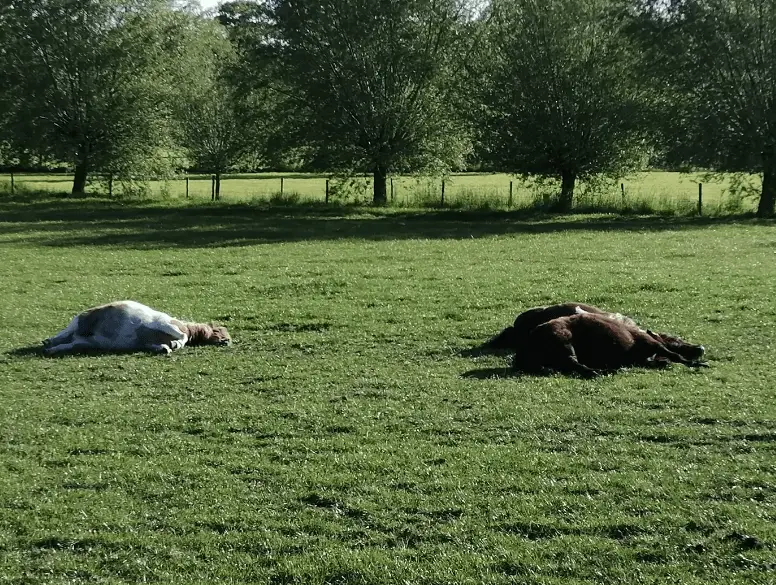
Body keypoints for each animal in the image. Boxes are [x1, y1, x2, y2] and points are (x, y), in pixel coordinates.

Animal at [42, 302, 230, 356]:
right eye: (222, 333)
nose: (228, 342)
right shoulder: (162, 323)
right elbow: (180, 335)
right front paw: (177, 344)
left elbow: (162, 346)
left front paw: (167, 348)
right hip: (80, 320)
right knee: (65, 332)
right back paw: (49, 341)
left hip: (84, 343)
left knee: (67, 344)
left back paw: (50, 349)